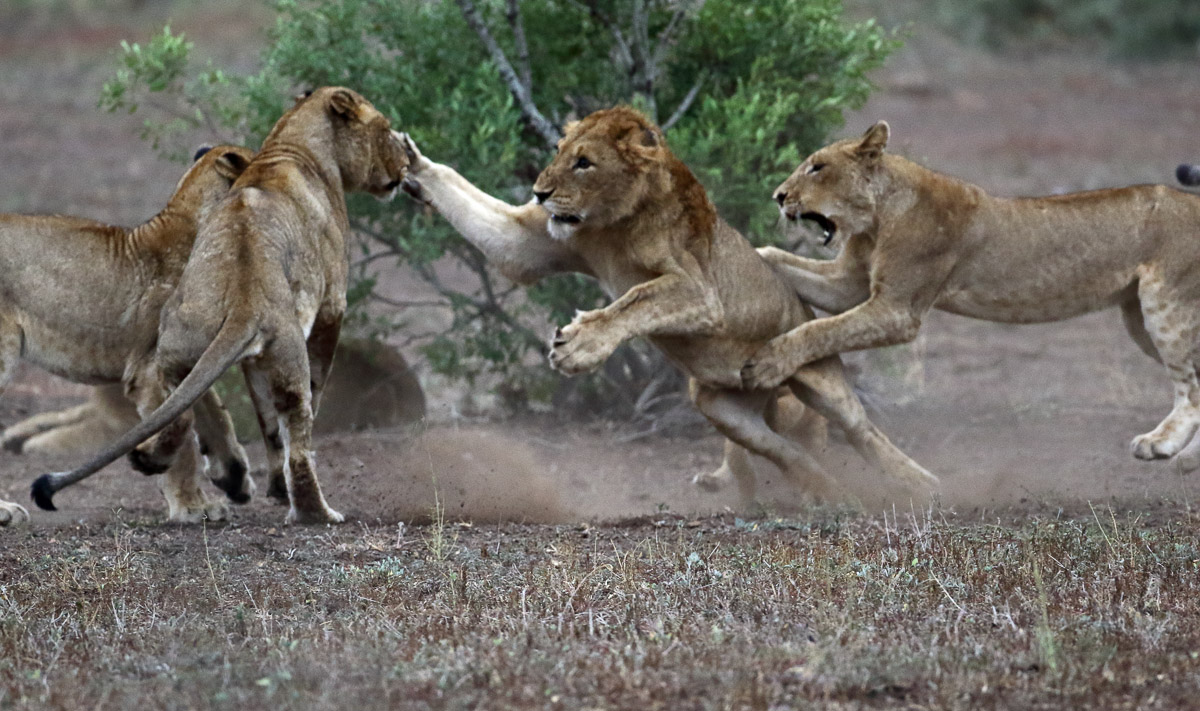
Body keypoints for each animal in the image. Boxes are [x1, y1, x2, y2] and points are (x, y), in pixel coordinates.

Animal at [0, 146, 256, 526]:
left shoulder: (193, 358)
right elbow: (181, 428)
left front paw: (234, 477)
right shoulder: (150, 369)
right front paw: (191, 505)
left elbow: (214, 414)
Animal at [31, 87, 409, 524]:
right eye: (385, 129)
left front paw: (274, 489)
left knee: (181, 407)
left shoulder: (252, 361)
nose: (406, 163)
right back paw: (318, 513)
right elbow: (311, 394)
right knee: (296, 435)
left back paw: (151, 458)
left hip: (177, 347)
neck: (289, 146)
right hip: (285, 354)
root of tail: (246, 301)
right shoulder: (333, 304)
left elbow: (266, 425)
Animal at [398, 107, 936, 505]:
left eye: (584, 162)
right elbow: (466, 198)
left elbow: (636, 300)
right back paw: (826, 492)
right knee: (787, 454)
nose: (540, 192)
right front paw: (412, 162)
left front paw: (579, 346)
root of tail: (768, 387)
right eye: (558, 153)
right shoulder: (530, 245)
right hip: (723, 410)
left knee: (862, 431)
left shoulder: (700, 291)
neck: (609, 225)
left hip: (819, 380)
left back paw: (921, 483)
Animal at [746, 120, 1200, 469]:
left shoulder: (897, 310)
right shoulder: (847, 285)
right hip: (1138, 318)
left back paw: (1163, 445)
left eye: (817, 167)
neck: (876, 219)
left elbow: (819, 331)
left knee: (1190, 386)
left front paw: (767, 363)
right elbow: (775, 258)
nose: (778, 196)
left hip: (1166, 306)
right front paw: (743, 254)